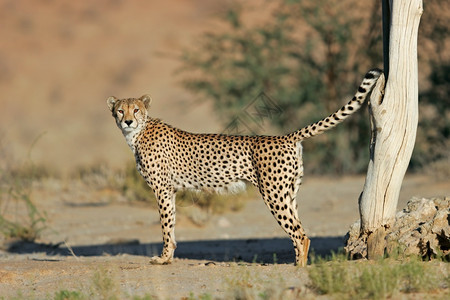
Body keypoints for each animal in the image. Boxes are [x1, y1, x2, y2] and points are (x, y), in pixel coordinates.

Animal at [107, 68, 382, 268]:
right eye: (120, 110)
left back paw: (299, 269)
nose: (128, 121)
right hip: (289, 192)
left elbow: (165, 226)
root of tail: (284, 136)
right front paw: (169, 256)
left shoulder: (162, 190)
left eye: (136, 109)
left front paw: (163, 259)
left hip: (273, 194)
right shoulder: (170, 190)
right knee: (301, 230)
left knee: (299, 234)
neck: (138, 133)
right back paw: (298, 263)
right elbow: (172, 224)